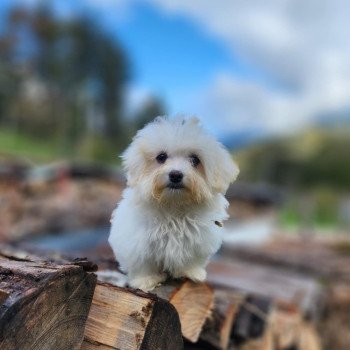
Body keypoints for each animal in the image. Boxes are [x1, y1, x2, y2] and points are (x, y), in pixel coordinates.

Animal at [110, 116, 238, 292]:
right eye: (161, 157)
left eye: (195, 160)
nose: (176, 174)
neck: (174, 205)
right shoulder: (138, 241)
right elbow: (143, 262)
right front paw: (145, 280)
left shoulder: (199, 240)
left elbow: (192, 259)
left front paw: (192, 272)